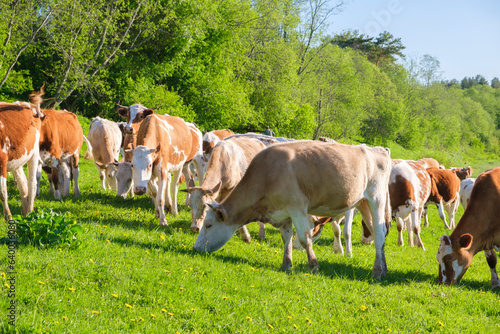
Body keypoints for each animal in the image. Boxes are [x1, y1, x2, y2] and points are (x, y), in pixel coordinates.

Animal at [193, 141, 392, 280]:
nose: (195, 248)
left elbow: (304, 238)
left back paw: (376, 272)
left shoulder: (297, 208)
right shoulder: (283, 212)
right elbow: (286, 238)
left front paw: (313, 266)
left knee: (379, 234)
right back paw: (384, 269)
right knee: (378, 233)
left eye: (208, 225)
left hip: (376, 199)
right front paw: (286, 264)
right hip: (362, 202)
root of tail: (378, 150)